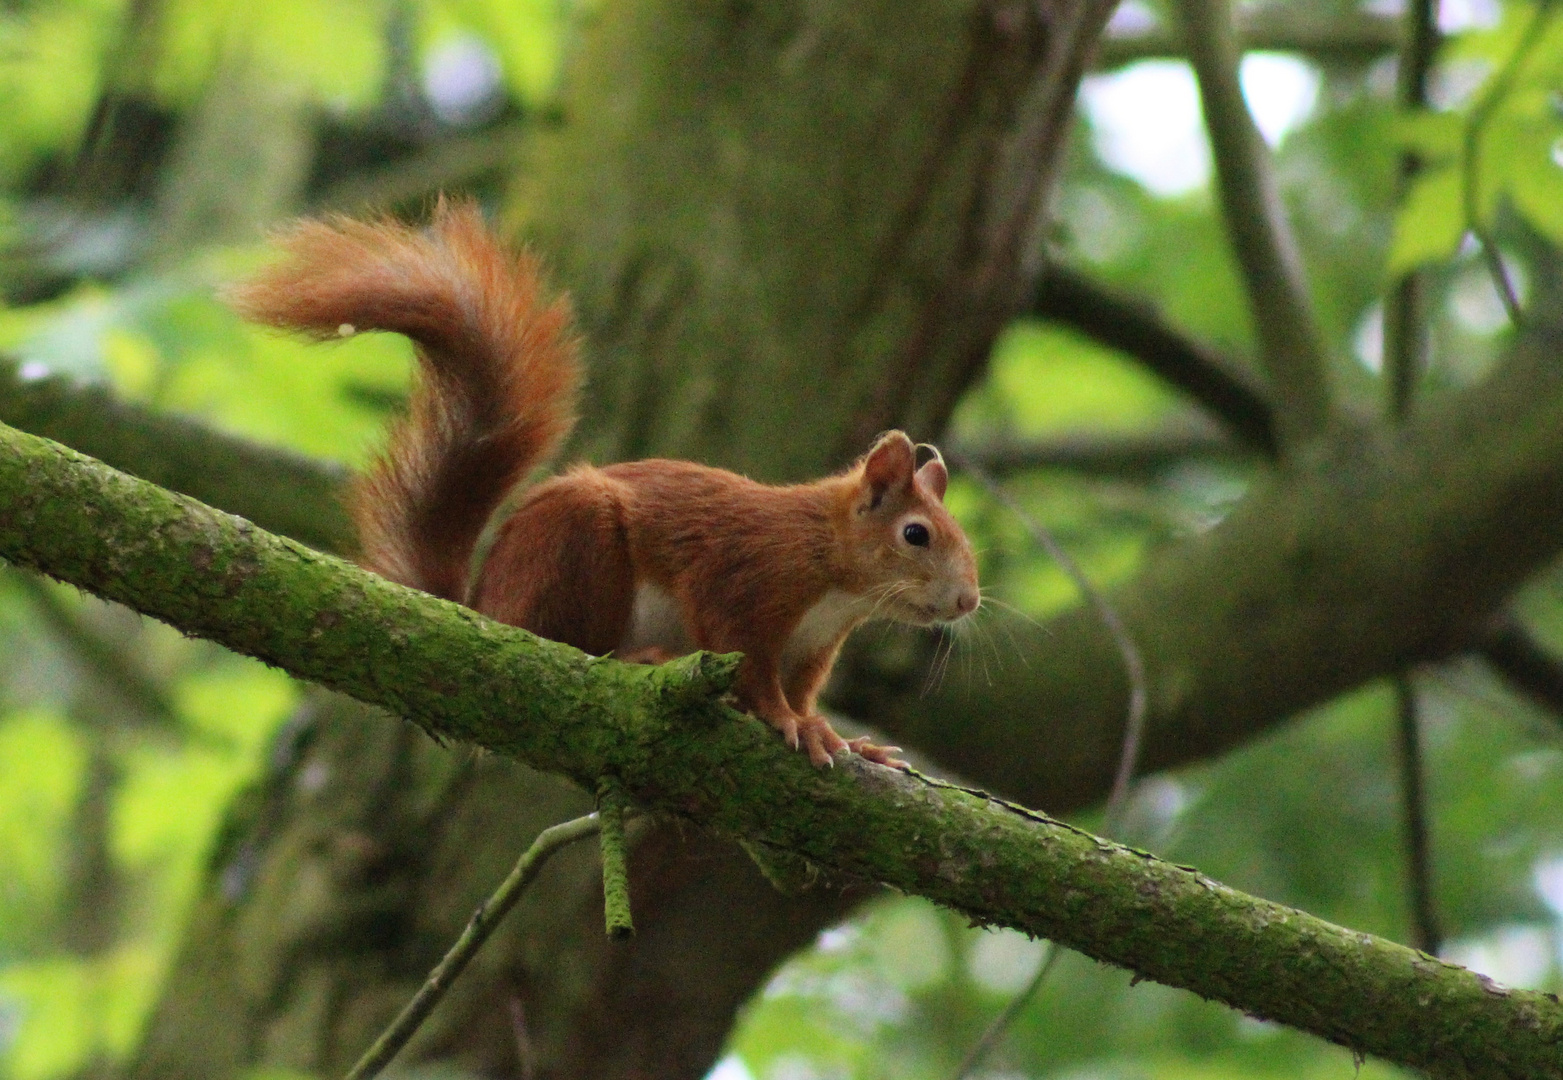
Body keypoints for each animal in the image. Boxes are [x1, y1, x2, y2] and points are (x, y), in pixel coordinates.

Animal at [223, 198, 975, 765]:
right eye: (915, 534)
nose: (968, 602)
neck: (835, 578)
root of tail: (485, 608)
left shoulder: (812, 648)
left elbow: (801, 692)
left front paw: (834, 734)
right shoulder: (742, 577)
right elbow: (746, 660)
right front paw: (782, 719)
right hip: (580, 549)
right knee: (566, 641)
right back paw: (635, 658)